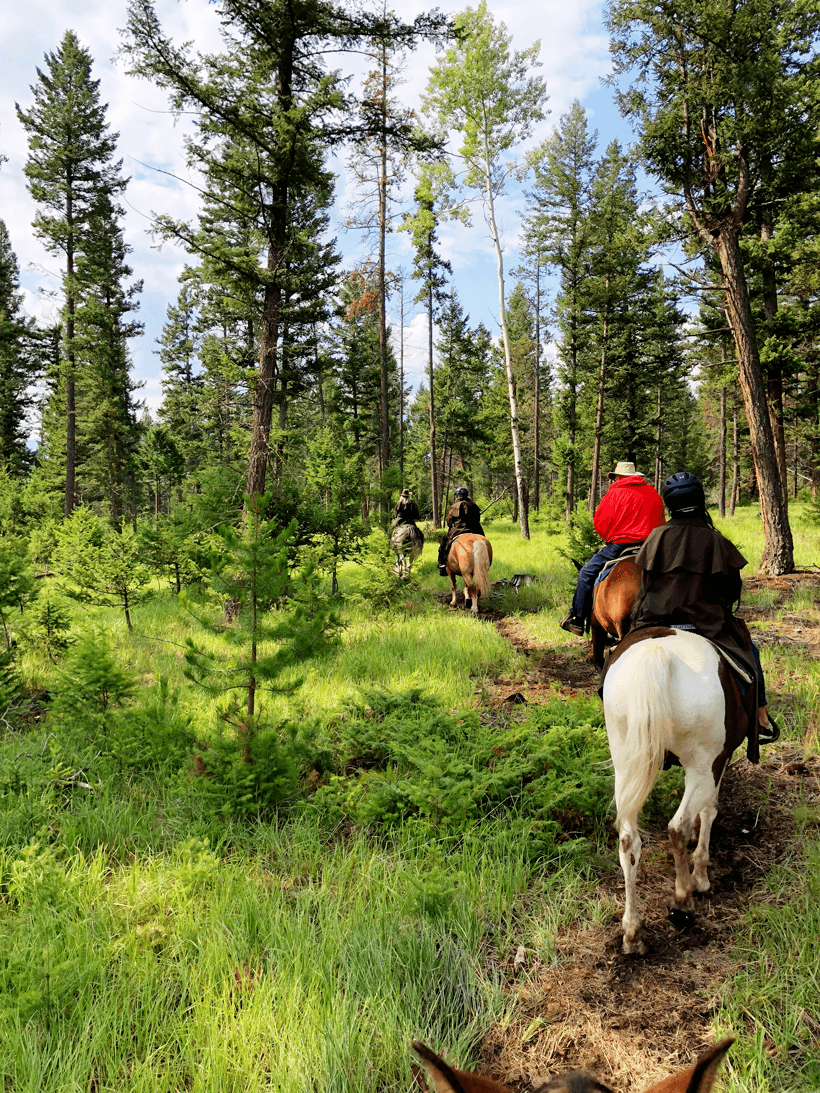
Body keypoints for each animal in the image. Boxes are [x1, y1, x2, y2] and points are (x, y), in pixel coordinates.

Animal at [603, 629, 752, 953]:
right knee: (677, 826)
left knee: (628, 841)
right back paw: (683, 899)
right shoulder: (717, 762)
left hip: (624, 761)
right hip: (702, 765)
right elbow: (709, 811)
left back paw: (632, 932)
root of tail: (659, 653)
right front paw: (701, 876)